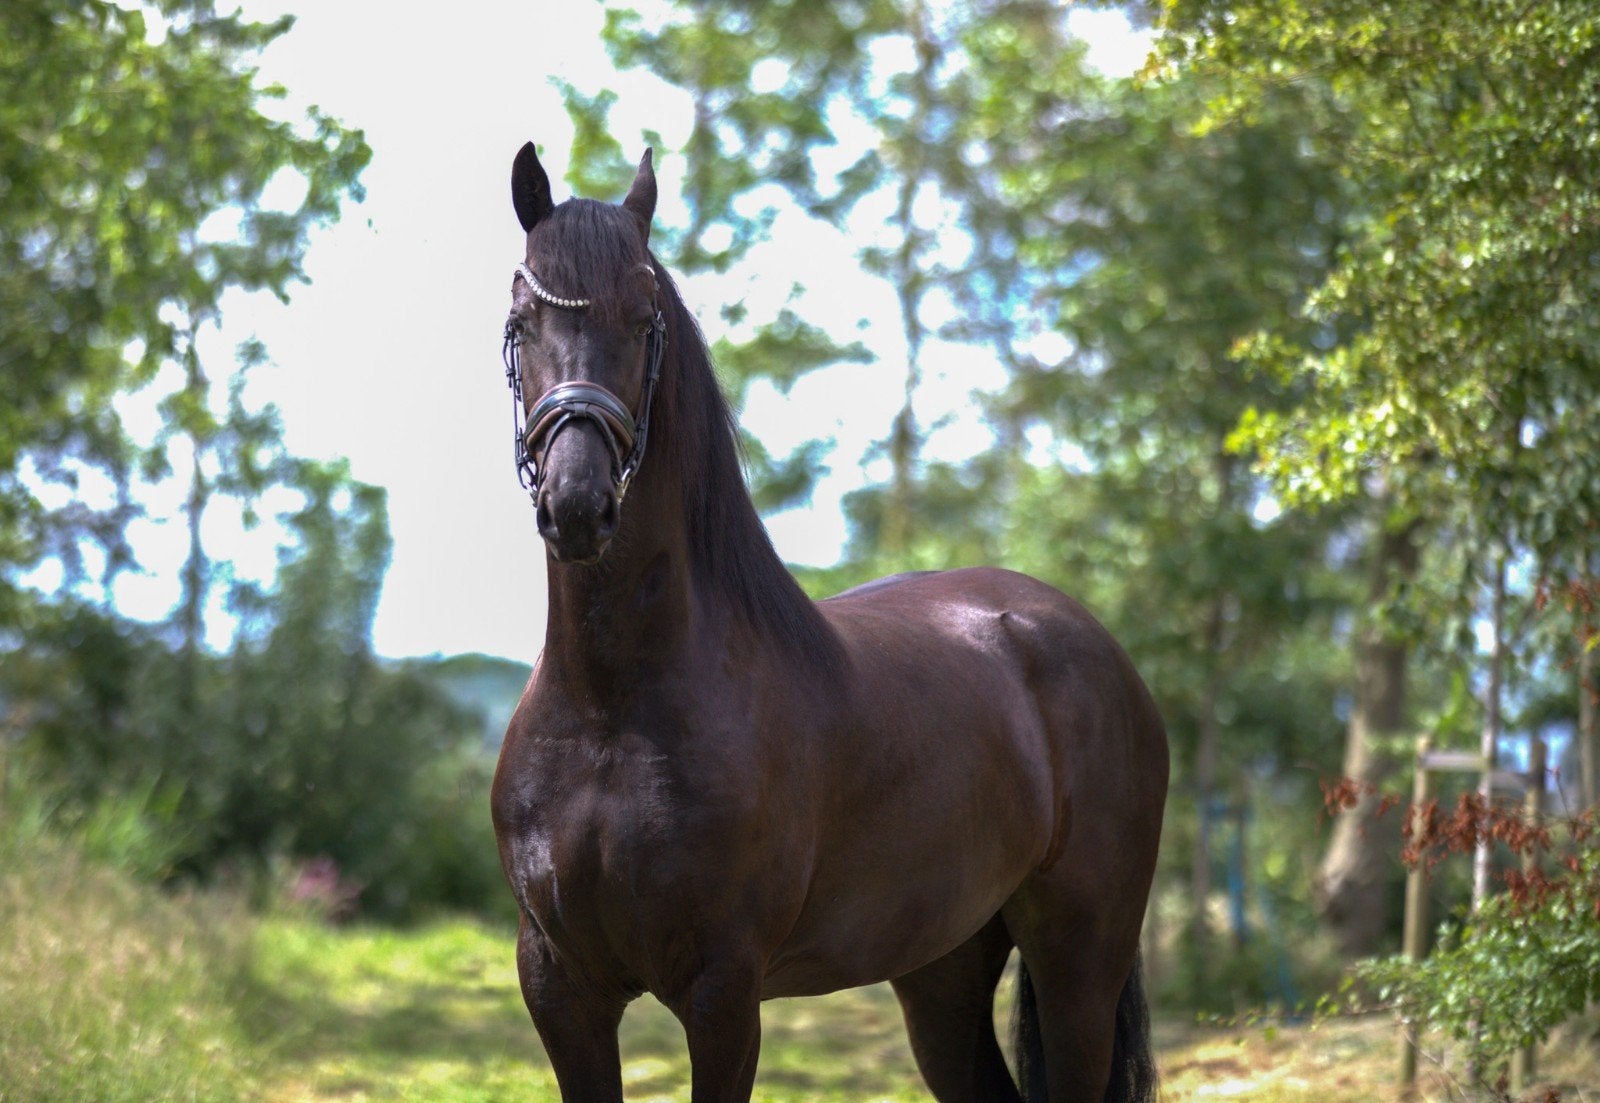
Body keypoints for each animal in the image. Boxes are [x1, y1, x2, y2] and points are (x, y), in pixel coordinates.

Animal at [489, 141, 1169, 1103]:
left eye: (645, 318)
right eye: (521, 320)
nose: (578, 505)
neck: (610, 708)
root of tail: (1096, 646)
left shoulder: (724, 994)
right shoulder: (560, 987)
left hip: (1081, 960)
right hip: (944, 965)